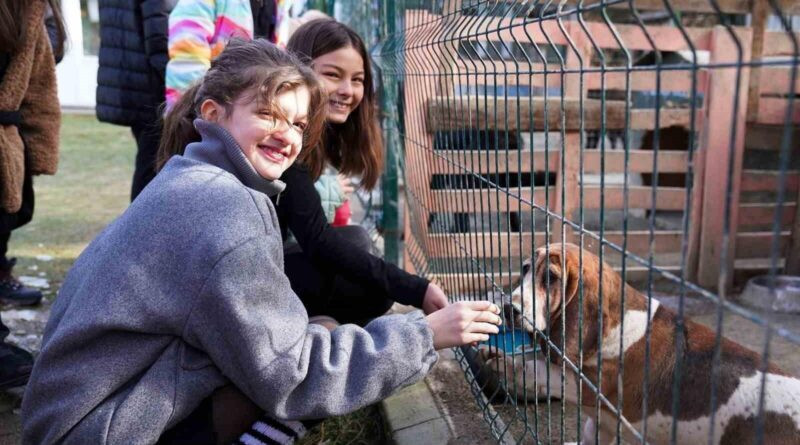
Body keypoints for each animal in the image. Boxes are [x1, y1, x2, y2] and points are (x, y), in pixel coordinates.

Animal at [484, 243, 800, 444]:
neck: (617, 324)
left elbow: (535, 369)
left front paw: (502, 360)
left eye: (550, 277)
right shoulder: (601, 423)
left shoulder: (587, 384)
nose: (508, 308)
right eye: (525, 268)